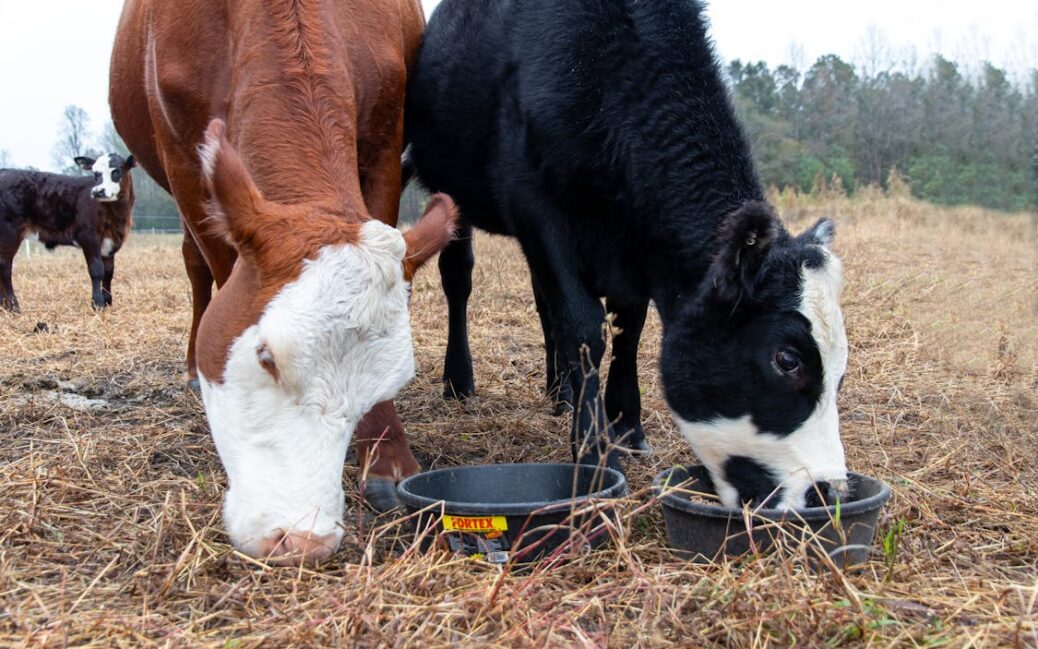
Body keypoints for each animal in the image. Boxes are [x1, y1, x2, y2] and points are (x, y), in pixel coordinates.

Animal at [0, 154, 135, 311]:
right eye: (95, 173)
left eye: (116, 171)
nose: (97, 191)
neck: (117, 216)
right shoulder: (89, 236)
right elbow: (96, 270)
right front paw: (97, 304)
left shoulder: (110, 242)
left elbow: (109, 272)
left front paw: (108, 301)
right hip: (10, 232)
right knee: (4, 267)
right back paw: (13, 307)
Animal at [106, 0, 458, 564]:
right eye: (265, 357)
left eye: (389, 383)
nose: (302, 539)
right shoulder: (184, 162)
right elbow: (218, 271)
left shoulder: (384, 146)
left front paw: (387, 456)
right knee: (195, 268)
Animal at [404, 0, 851, 508]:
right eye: (787, 359)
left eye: (841, 369)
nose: (828, 490)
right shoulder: (535, 204)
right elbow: (585, 327)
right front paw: (596, 452)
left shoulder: (635, 244)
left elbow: (628, 329)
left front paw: (627, 425)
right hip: (451, 191)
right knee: (459, 278)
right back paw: (460, 381)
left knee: (544, 304)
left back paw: (560, 392)